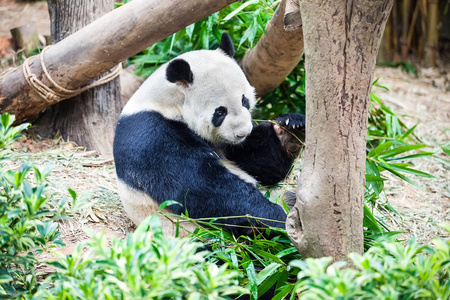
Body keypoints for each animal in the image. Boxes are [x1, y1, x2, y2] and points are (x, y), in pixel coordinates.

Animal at [113, 31, 306, 236]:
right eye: (220, 112)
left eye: (244, 100)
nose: (243, 133)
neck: (169, 102)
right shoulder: (153, 135)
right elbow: (201, 188)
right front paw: (276, 218)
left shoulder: (225, 143)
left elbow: (259, 164)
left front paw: (290, 131)